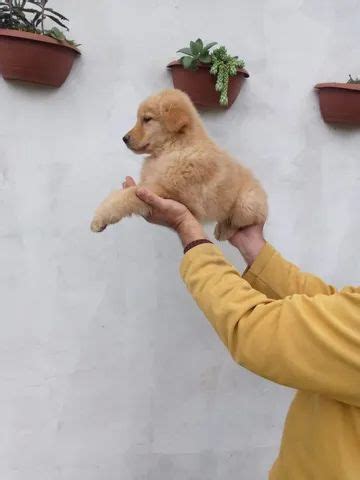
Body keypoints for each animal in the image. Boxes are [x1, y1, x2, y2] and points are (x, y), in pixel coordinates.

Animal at [91, 87, 268, 240]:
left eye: (147, 119)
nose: (124, 138)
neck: (173, 148)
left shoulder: (167, 191)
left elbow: (126, 197)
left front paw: (100, 218)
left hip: (247, 203)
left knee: (242, 222)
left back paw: (223, 231)